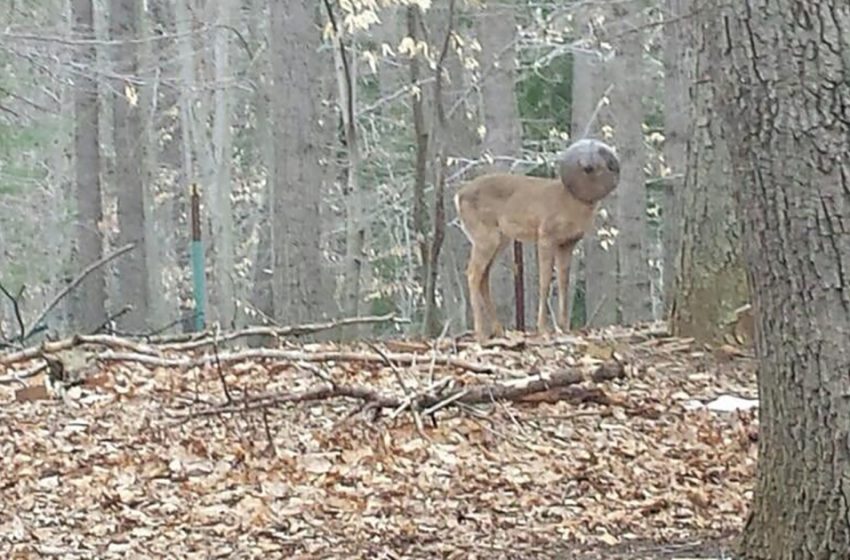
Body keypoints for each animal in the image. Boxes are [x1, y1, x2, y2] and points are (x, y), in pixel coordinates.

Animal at [454, 139, 620, 342]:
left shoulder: (567, 243)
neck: (570, 205)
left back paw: (499, 331)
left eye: (603, 162)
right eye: (589, 166)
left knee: (483, 276)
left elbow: (564, 282)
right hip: (484, 236)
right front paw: (543, 329)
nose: (587, 165)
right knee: (472, 273)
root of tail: (458, 195)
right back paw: (481, 333)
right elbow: (545, 280)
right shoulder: (546, 235)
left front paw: (564, 327)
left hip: (501, 240)